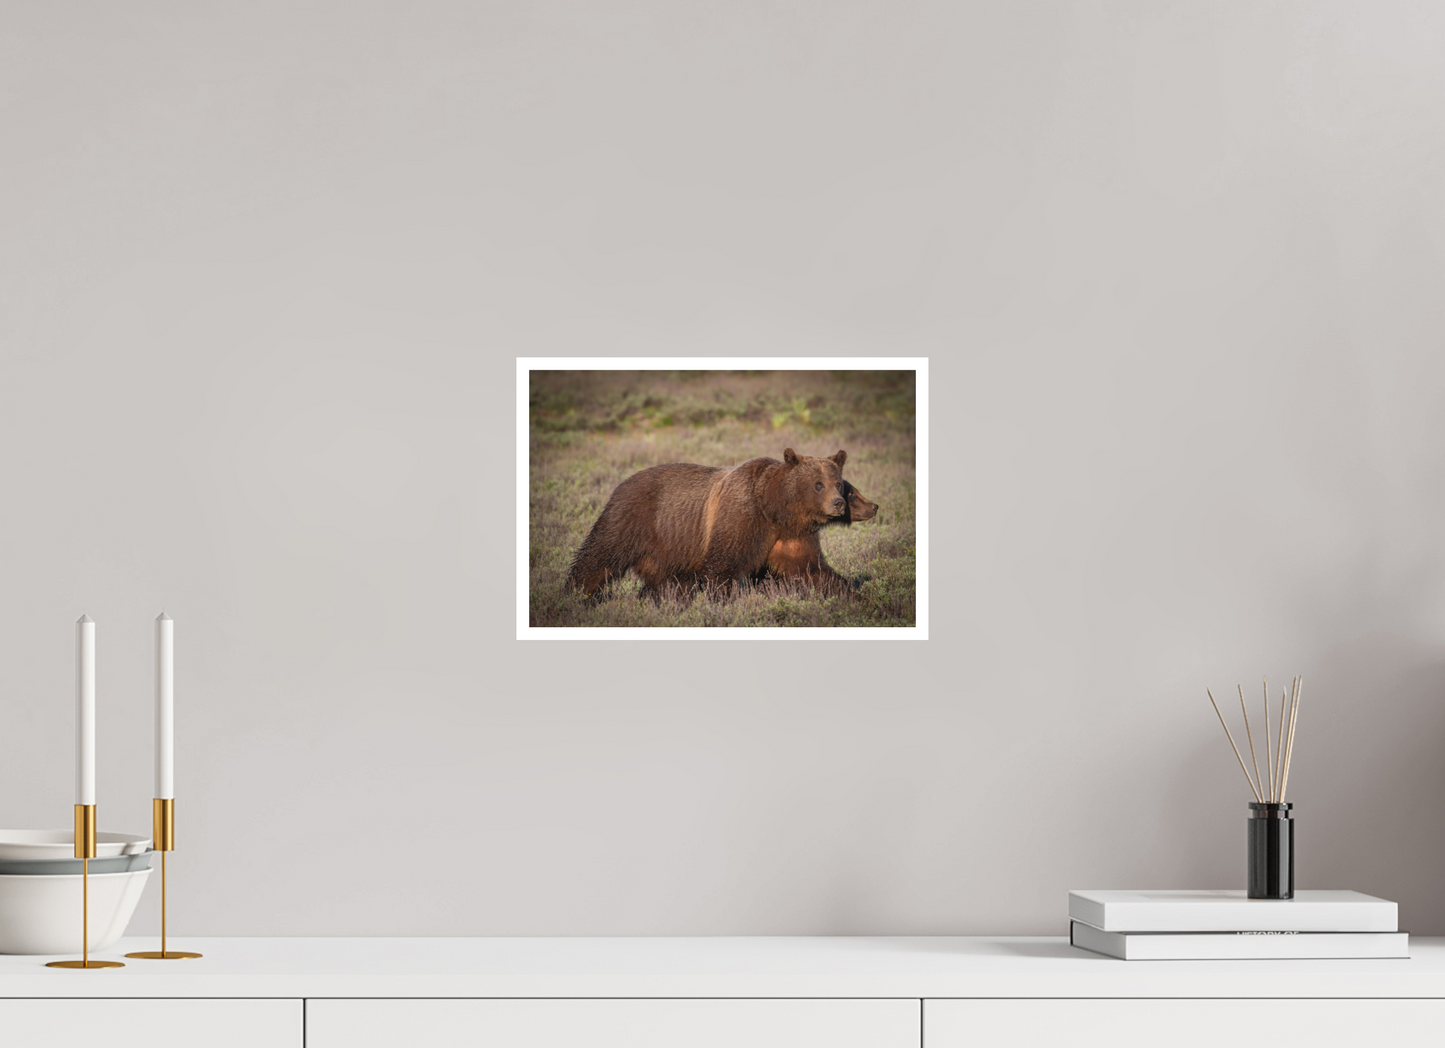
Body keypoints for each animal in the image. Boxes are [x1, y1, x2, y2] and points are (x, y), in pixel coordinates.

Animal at [566, 448, 849, 600]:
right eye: (818, 484)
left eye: (838, 483)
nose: (838, 503)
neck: (775, 509)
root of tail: (621, 483)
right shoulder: (740, 518)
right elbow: (721, 568)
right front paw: (723, 600)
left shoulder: (791, 536)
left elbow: (812, 570)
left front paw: (847, 592)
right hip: (631, 519)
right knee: (599, 557)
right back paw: (576, 594)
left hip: (666, 550)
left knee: (668, 583)